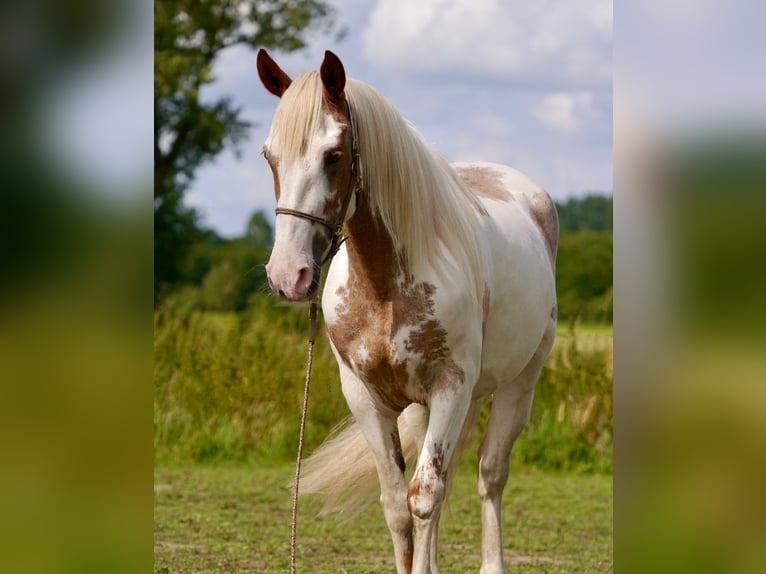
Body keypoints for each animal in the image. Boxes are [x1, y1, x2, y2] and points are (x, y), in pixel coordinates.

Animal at [256, 49, 560, 574]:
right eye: (269, 155)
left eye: (333, 155)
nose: (288, 274)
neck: (384, 288)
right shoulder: (365, 397)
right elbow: (399, 505)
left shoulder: (451, 386)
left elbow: (425, 497)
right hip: (423, 408)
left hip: (516, 386)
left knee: (489, 475)